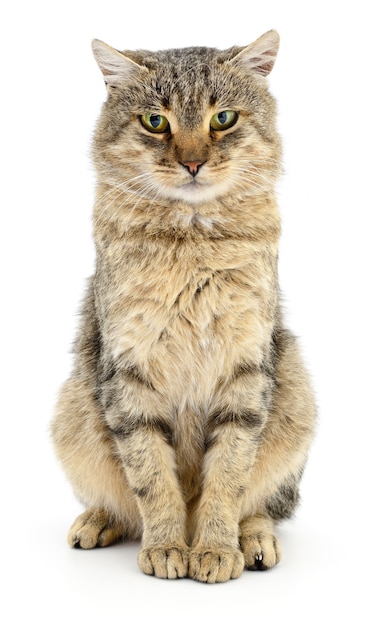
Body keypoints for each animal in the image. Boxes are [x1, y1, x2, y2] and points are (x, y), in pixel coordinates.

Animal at [51, 31, 316, 584]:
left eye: (223, 119)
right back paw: (97, 521)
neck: (191, 239)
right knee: (119, 501)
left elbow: (230, 477)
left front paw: (214, 548)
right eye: (156, 122)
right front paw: (168, 546)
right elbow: (151, 477)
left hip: (297, 397)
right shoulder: (129, 373)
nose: (193, 163)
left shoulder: (245, 373)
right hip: (70, 413)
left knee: (264, 504)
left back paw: (254, 540)